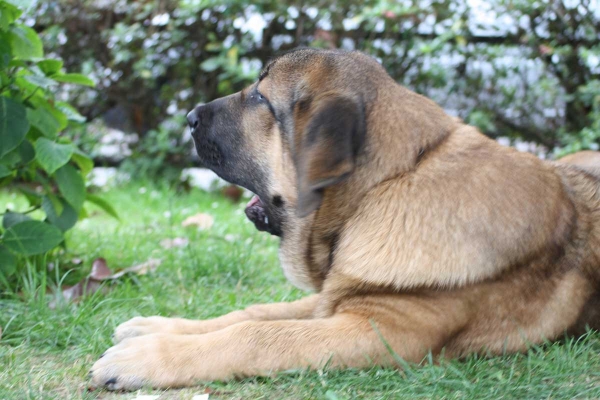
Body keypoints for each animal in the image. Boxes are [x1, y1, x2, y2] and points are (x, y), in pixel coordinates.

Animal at [89, 50, 600, 390]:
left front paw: (142, 358)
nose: (190, 115)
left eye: (260, 99)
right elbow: (252, 314)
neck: (388, 182)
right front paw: (154, 327)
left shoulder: (383, 330)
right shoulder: (335, 299)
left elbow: (258, 335)